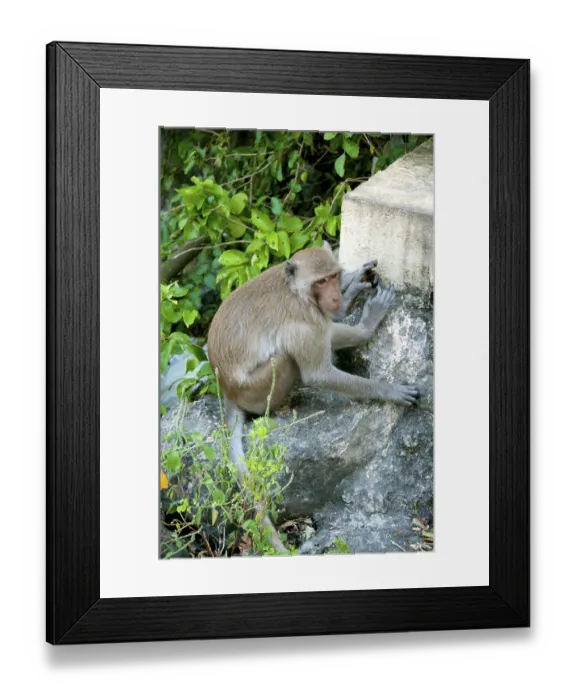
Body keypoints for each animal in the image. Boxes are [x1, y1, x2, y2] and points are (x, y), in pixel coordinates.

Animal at [207, 241, 420, 553]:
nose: (333, 295)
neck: (298, 293)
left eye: (332, 276)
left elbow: (329, 329)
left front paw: (354, 283)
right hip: (259, 390)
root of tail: (226, 389)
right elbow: (318, 374)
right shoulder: (302, 324)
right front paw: (388, 387)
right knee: (285, 357)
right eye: (320, 281)